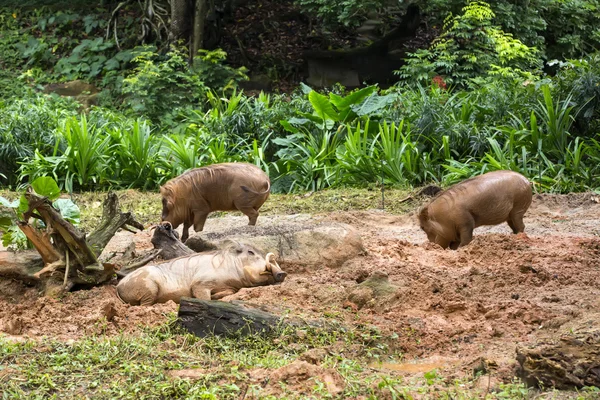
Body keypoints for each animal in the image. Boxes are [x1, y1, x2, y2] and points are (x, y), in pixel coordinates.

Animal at [118, 241, 288, 306]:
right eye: (251, 252)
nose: (283, 273)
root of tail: (119, 286)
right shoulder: (200, 285)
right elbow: (204, 298)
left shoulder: (229, 286)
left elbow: (228, 292)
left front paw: (217, 296)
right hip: (149, 289)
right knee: (145, 305)